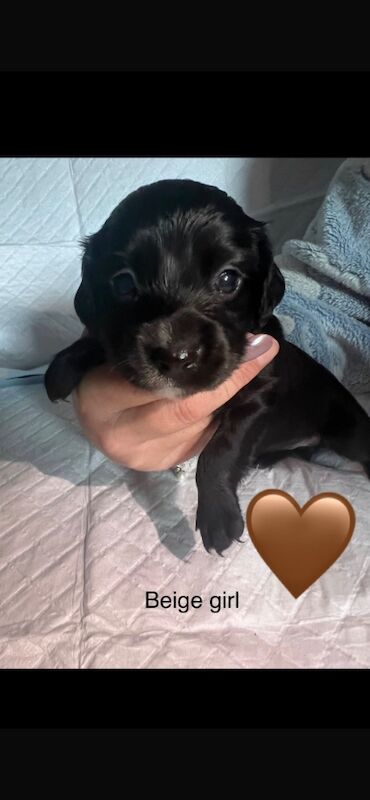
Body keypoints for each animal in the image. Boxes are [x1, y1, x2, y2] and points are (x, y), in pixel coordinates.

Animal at [44, 180, 370, 556]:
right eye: (123, 283)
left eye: (228, 279)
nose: (177, 355)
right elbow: (104, 340)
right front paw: (64, 365)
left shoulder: (256, 396)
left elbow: (219, 452)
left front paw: (218, 516)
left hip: (348, 429)